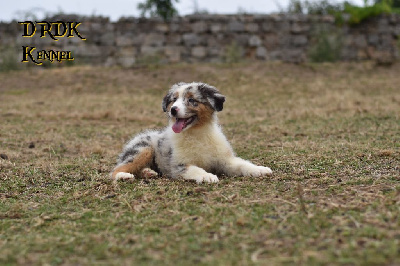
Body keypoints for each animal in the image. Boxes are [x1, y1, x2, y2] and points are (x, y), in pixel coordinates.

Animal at [111, 82, 272, 184]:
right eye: (174, 100)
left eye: (191, 100)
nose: (173, 110)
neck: (197, 133)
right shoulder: (179, 165)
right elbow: (196, 169)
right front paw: (207, 176)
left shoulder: (226, 160)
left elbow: (243, 165)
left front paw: (260, 170)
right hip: (142, 149)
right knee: (116, 169)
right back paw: (124, 175)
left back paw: (148, 173)